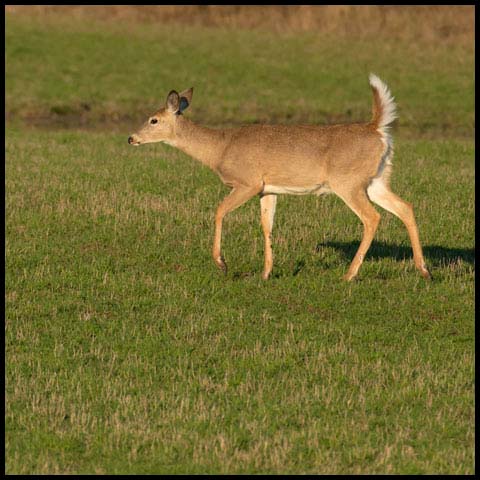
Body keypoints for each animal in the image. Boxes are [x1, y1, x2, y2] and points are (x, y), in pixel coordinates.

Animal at [128, 75, 432, 282]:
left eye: (153, 120)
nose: (131, 138)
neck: (220, 148)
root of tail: (377, 129)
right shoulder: (268, 189)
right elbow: (267, 226)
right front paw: (265, 272)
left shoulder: (248, 182)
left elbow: (219, 211)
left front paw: (222, 263)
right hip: (376, 180)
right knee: (406, 207)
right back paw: (424, 270)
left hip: (348, 182)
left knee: (372, 218)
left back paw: (349, 274)